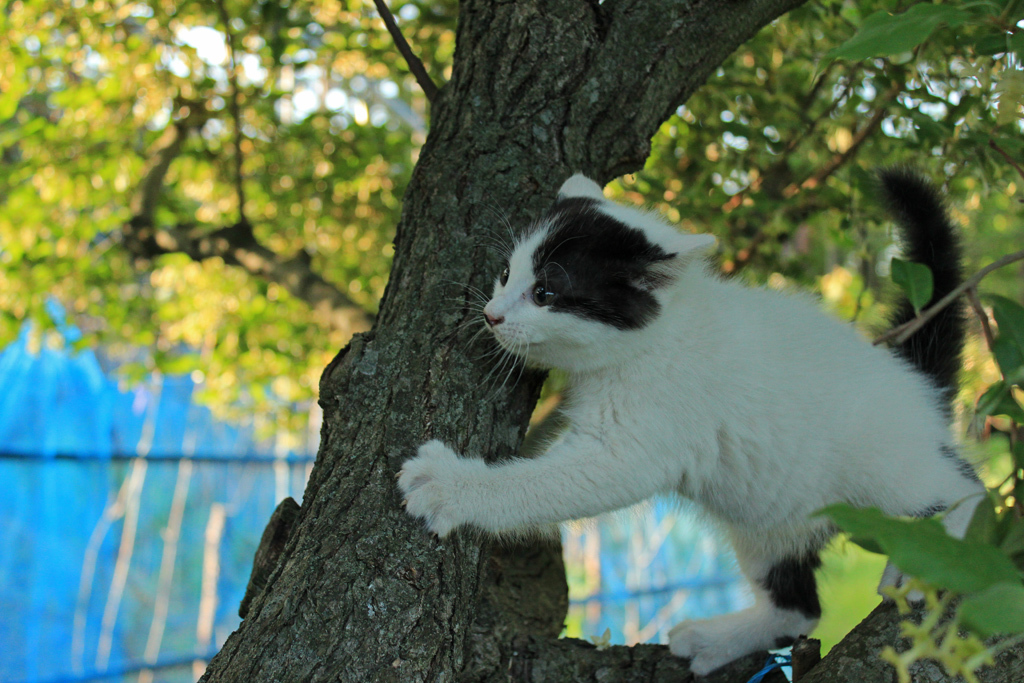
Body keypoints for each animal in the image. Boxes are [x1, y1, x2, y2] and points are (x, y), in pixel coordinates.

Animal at [397, 169, 983, 671]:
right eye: (504, 275)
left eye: (545, 293)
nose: (492, 315)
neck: (653, 339)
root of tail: (912, 381)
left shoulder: (632, 447)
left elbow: (541, 484)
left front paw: (449, 487)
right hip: (772, 511)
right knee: (798, 608)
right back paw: (717, 640)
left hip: (885, 467)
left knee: (967, 489)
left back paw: (937, 554)